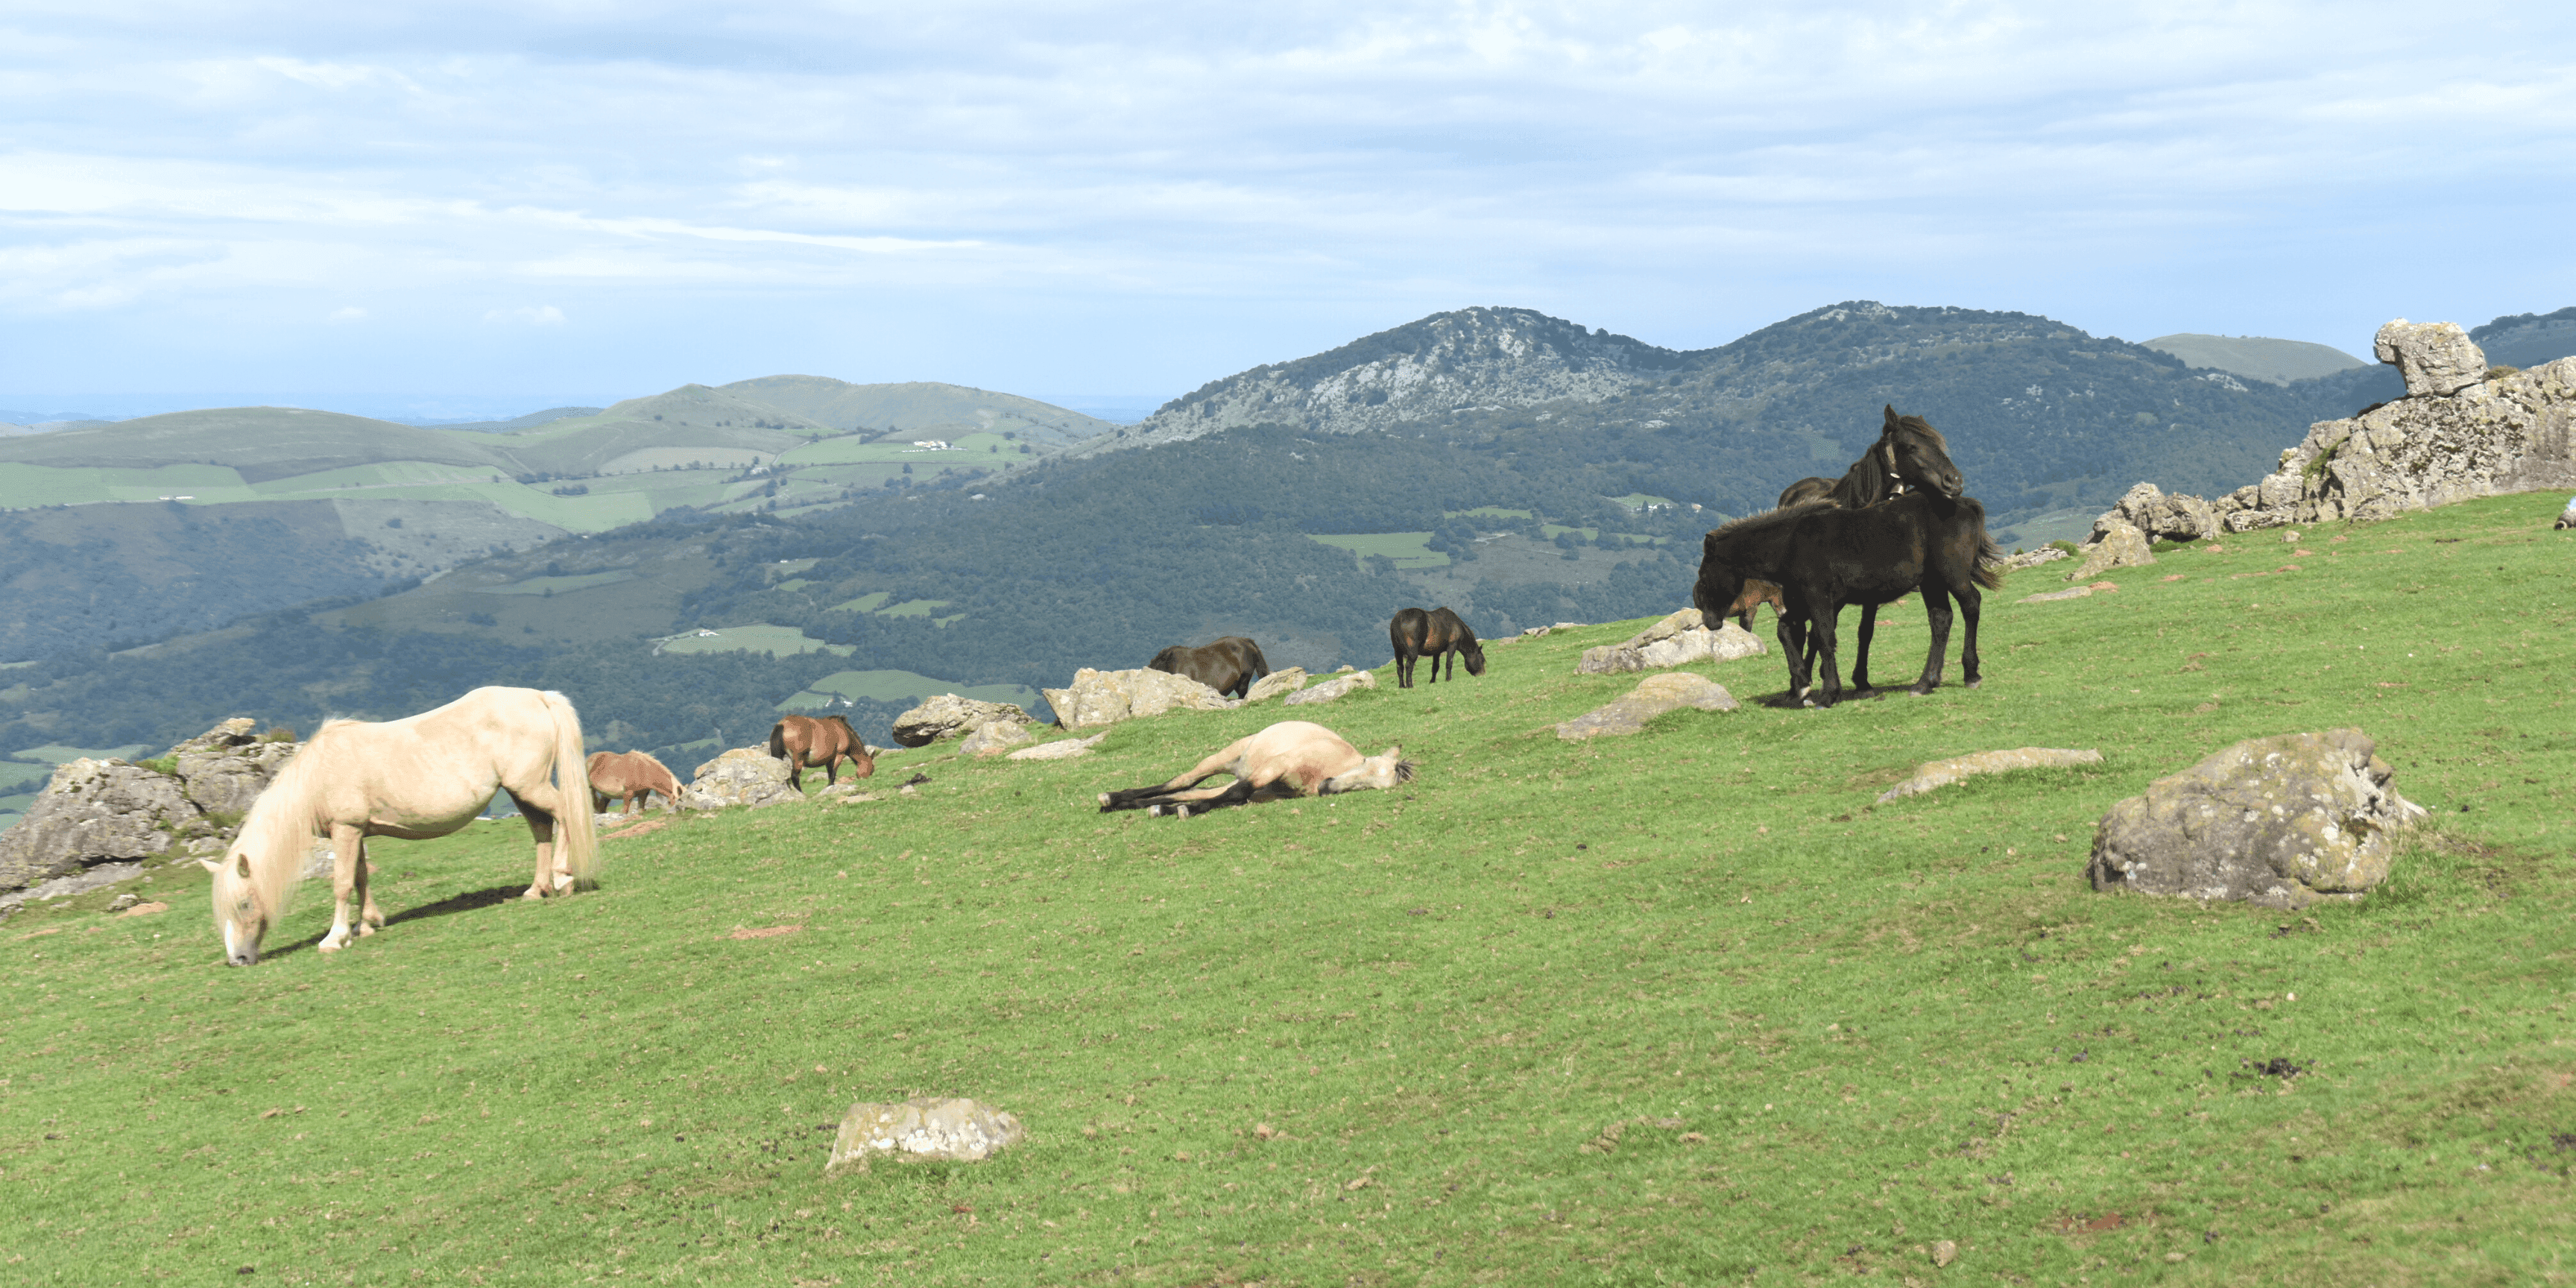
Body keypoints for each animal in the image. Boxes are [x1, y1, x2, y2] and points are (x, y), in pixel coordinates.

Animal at [202, 685, 597, 968]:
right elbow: (361, 877)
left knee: (564, 815)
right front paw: (367, 925)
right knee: (542, 830)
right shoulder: (356, 831)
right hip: (521, 791)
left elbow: (342, 883)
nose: (237, 959)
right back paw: (536, 890)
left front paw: (335, 938)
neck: (318, 774)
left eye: (243, 904)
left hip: (530, 787)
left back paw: (562, 878)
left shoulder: (346, 829)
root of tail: (539, 697)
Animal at [762, 710, 876, 788]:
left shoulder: (829, 759)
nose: (867, 778)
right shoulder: (839, 755)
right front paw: (830, 787)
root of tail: (782, 725)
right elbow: (833, 773)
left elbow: (830, 773)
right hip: (798, 760)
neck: (844, 731)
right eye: (872, 769)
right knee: (795, 777)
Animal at [1087, 721, 1411, 819]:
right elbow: (1236, 792)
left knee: (1190, 791)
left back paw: (1135, 805)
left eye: (1370, 786)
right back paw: (1112, 798)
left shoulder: (1264, 792)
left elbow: (1227, 798)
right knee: (1183, 781)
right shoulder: (1275, 767)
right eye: (1366, 763)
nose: (1327, 788)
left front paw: (1182, 811)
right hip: (1222, 760)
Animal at [1391, 607, 1494, 690]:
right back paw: (1410, 685)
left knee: (1400, 667)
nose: (1483, 674)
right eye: (1482, 660)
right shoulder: (1452, 646)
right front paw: (1448, 679)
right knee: (1409, 666)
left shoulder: (1436, 651)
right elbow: (1449, 663)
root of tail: (1399, 618)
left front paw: (1432, 681)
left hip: (1397, 652)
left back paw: (1402, 686)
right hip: (1412, 653)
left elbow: (1435, 667)